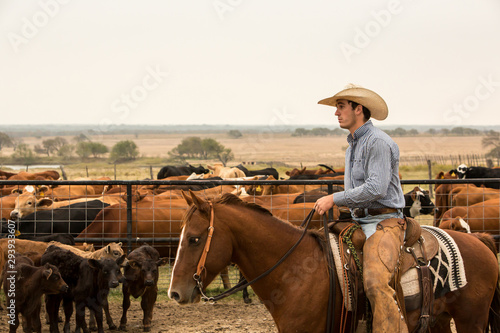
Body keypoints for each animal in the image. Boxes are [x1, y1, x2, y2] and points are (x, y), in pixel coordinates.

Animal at [169, 192, 500, 332]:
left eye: (194, 239)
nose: (174, 293)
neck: (294, 272)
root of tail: (480, 240)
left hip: (471, 320)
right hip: (440, 319)